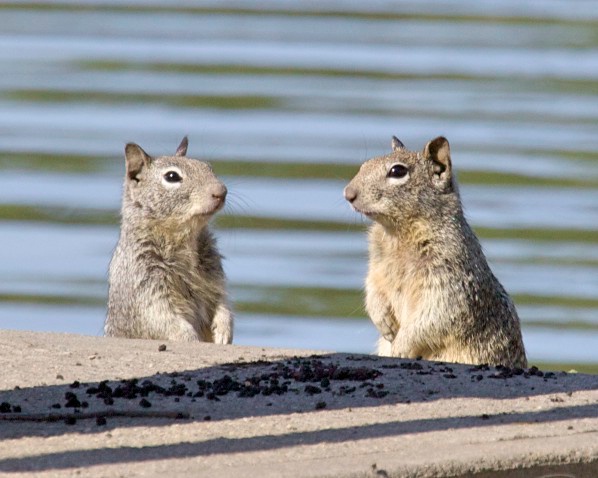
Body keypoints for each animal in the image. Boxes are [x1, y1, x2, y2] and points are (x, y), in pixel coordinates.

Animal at [344, 136, 528, 368]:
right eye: (365, 165)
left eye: (397, 171)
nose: (348, 193)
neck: (398, 233)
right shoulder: (377, 268)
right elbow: (373, 290)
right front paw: (383, 321)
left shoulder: (448, 279)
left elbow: (435, 316)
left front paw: (401, 347)